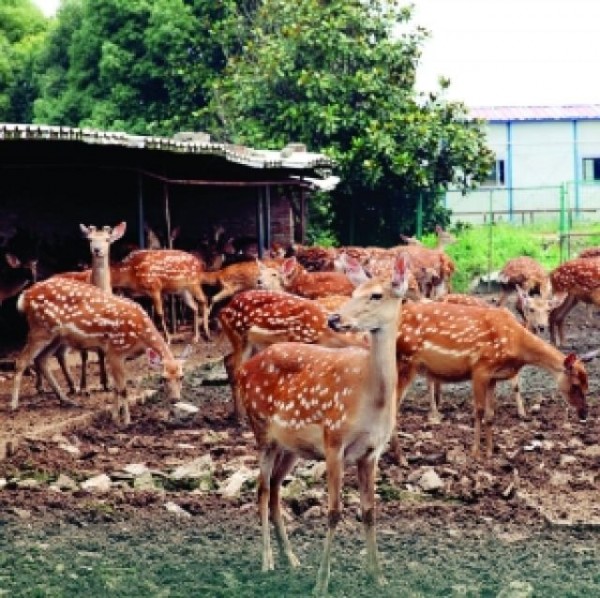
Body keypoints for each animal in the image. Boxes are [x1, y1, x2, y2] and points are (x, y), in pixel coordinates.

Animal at [11, 278, 188, 424]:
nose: (175, 399)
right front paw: (126, 421)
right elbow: (123, 389)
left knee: (41, 360)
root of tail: (24, 297)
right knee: (21, 360)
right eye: (163, 378)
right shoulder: (115, 349)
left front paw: (114, 417)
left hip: (57, 336)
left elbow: (116, 388)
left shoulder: (117, 354)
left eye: (181, 377)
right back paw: (13, 405)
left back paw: (66, 400)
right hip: (40, 328)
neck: (139, 335)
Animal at [237, 253, 410, 596]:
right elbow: (334, 512)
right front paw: (322, 583)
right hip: (261, 429)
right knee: (261, 490)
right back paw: (267, 561)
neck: (372, 399)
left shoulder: (371, 452)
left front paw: (378, 576)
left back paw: (291, 558)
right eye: (354, 292)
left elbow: (370, 511)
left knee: (274, 489)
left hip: (289, 446)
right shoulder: (334, 440)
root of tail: (244, 370)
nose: (334, 318)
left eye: (376, 295)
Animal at [394, 302, 592, 462]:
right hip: (405, 362)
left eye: (587, 385)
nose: (584, 413)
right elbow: (479, 411)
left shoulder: (493, 377)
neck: (516, 345)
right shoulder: (481, 368)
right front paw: (475, 453)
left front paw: (489, 453)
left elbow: (491, 415)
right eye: (575, 385)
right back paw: (401, 459)